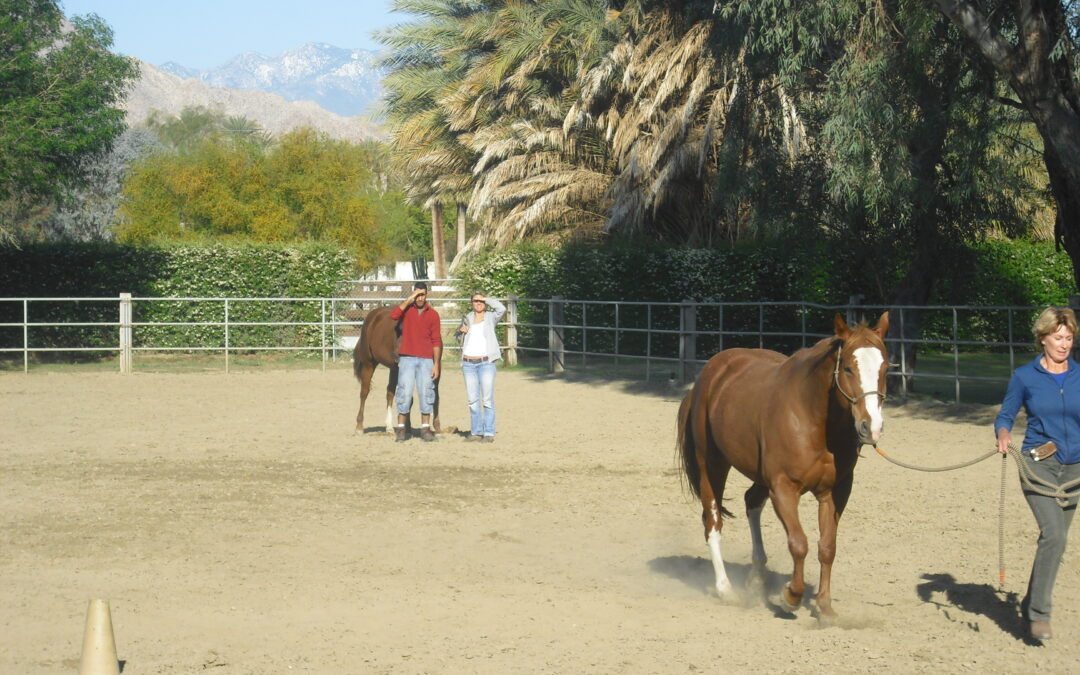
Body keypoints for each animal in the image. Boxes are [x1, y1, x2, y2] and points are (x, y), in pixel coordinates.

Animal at [676, 311, 889, 621]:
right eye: (848, 368)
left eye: (886, 368)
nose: (871, 427)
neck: (812, 419)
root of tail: (708, 376)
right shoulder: (784, 488)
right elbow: (799, 544)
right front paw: (791, 596)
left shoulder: (835, 491)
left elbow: (827, 547)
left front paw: (824, 606)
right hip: (711, 464)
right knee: (712, 521)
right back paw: (726, 589)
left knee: (751, 501)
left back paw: (756, 577)